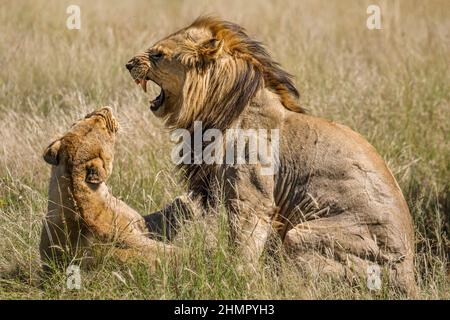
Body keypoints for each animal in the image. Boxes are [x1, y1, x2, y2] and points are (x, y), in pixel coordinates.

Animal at [125, 16, 414, 294]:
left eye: (158, 54)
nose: (128, 64)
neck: (216, 108)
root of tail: (410, 276)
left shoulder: (251, 200)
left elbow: (243, 249)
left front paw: (236, 282)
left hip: (306, 237)